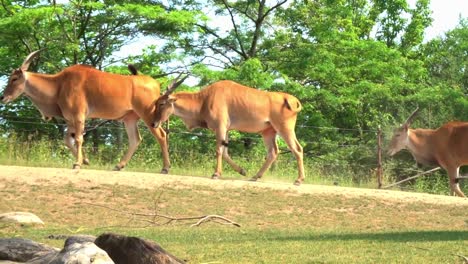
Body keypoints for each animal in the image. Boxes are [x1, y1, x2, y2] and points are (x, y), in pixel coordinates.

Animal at [149, 80, 304, 186]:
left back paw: (298, 180)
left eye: (161, 103)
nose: (154, 124)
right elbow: (225, 152)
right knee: (273, 152)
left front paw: (216, 174)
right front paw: (242, 171)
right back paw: (255, 176)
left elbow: (219, 150)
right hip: (268, 132)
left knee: (297, 149)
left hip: (284, 128)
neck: (204, 100)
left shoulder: (220, 127)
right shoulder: (227, 130)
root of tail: (292, 100)